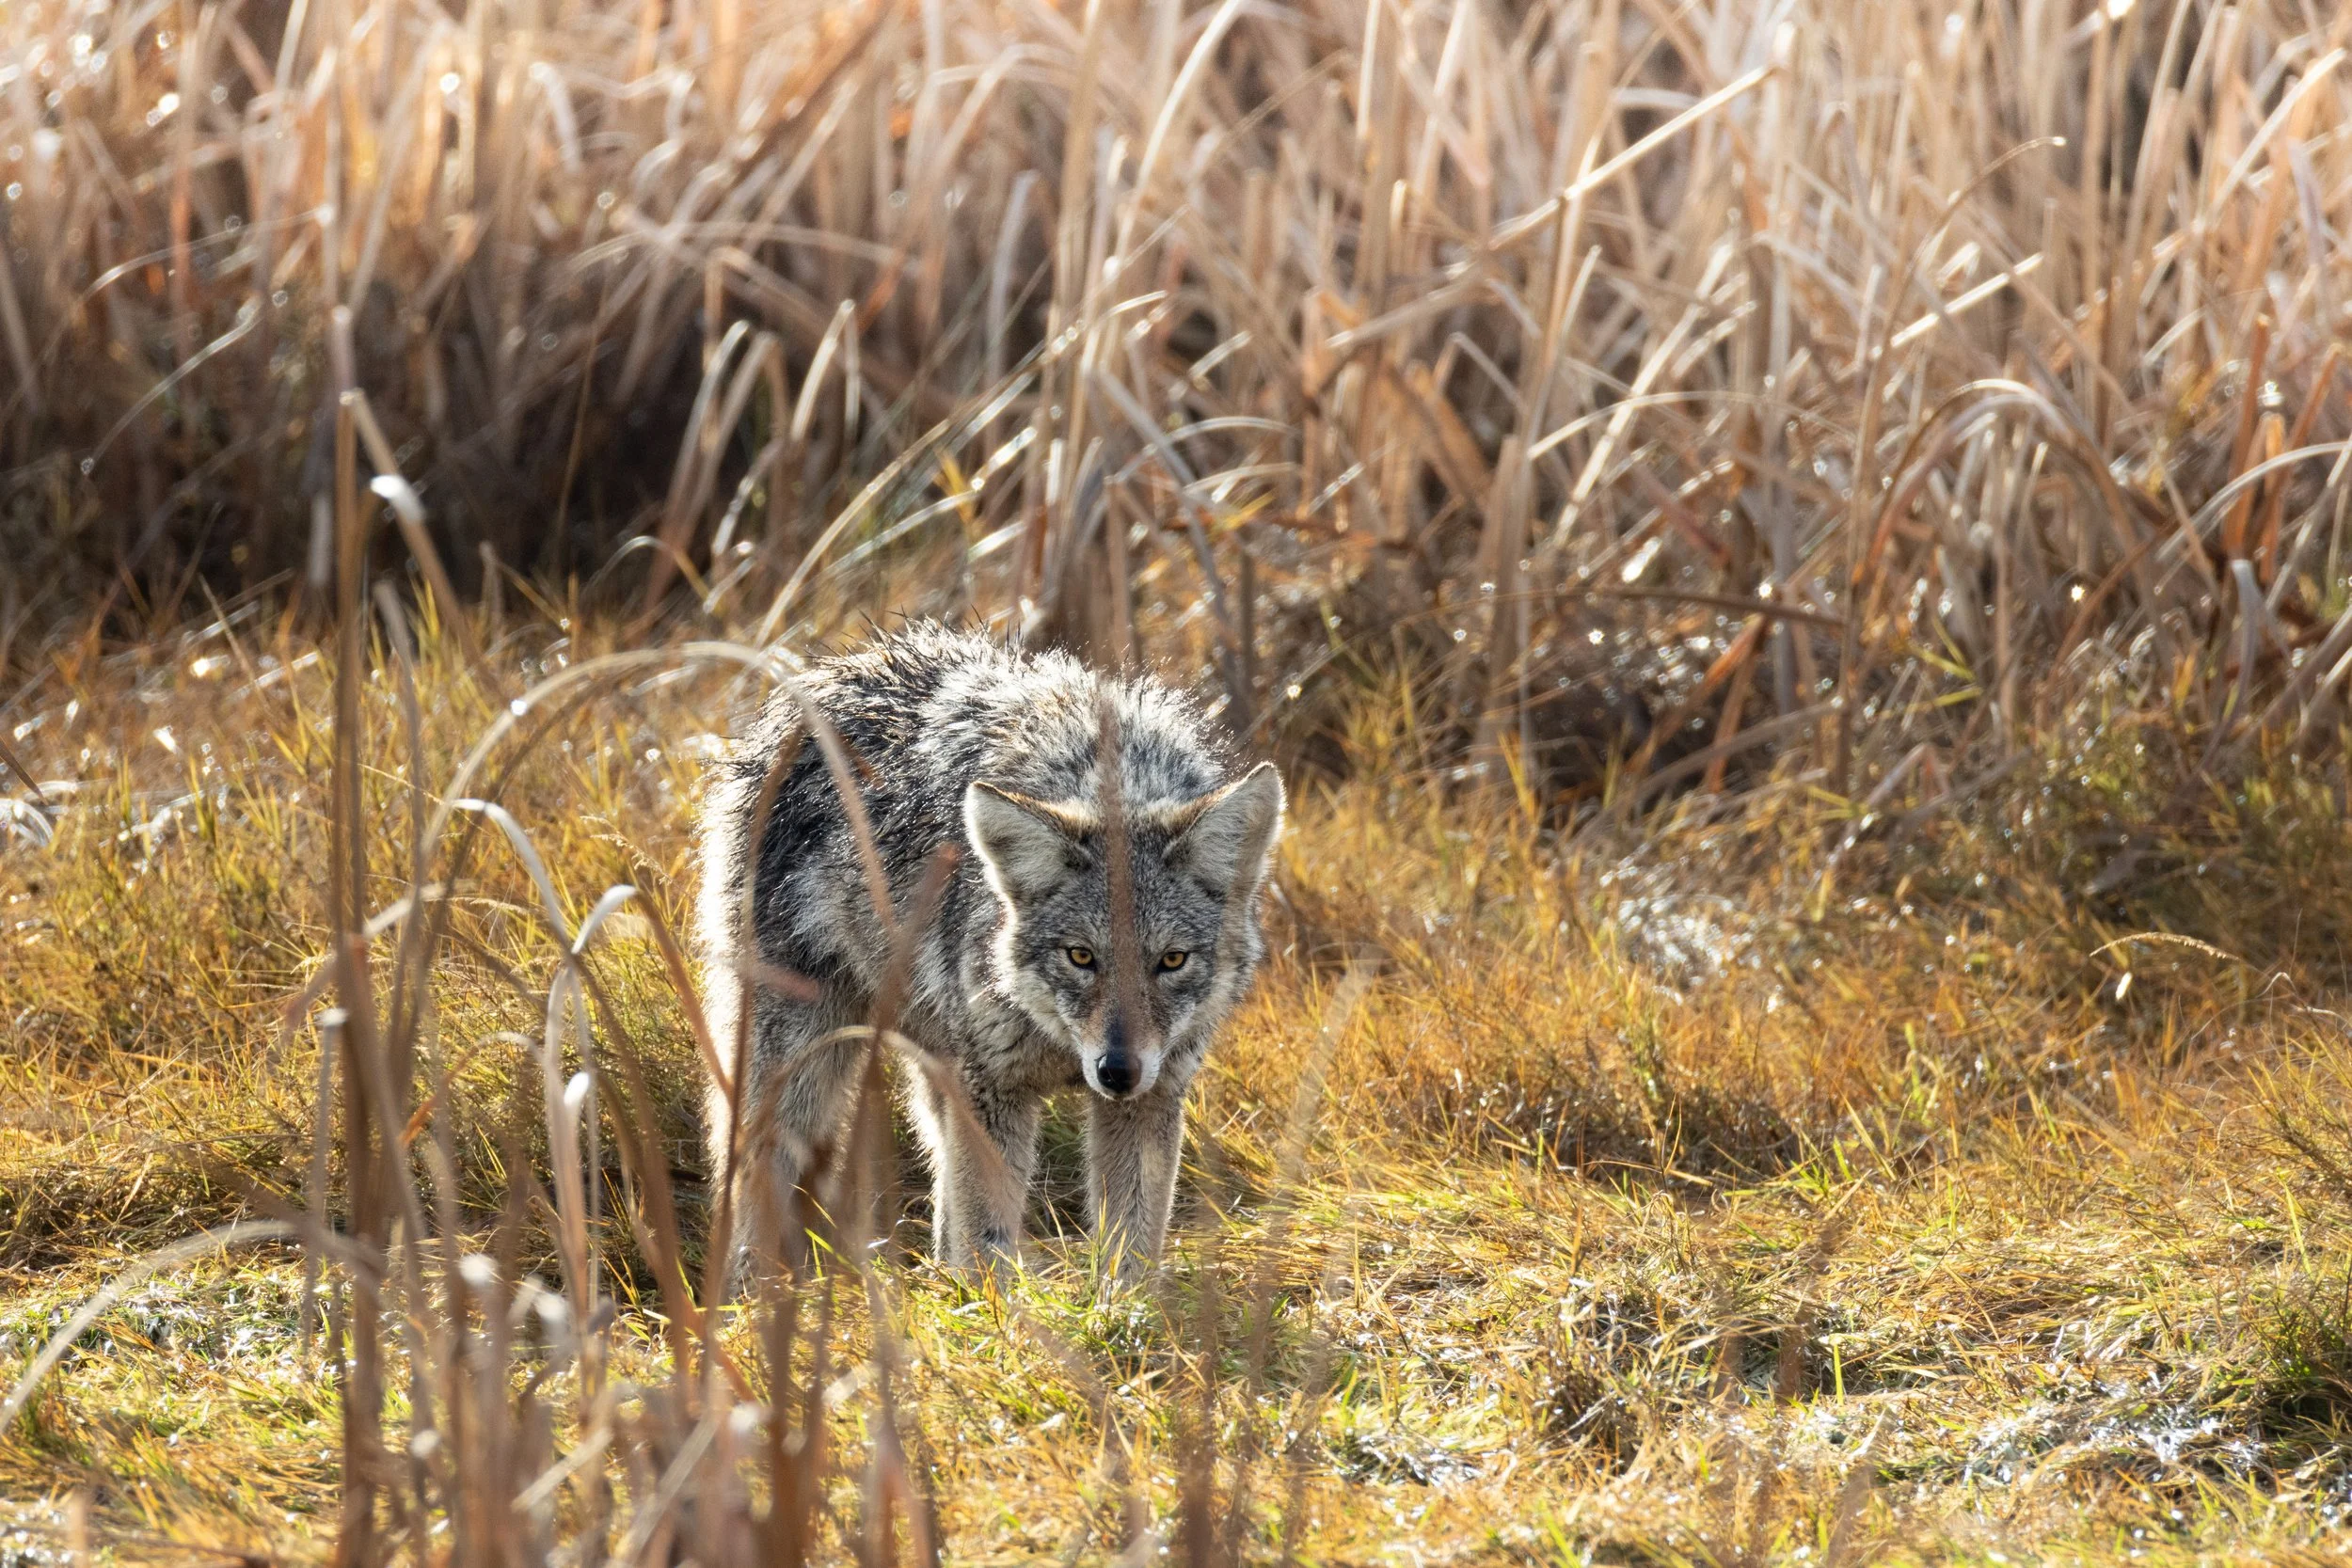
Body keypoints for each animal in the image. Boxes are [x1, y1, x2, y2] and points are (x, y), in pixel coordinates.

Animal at [694, 623, 1285, 1275]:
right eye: (1081, 957)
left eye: (1172, 961)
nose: (1117, 1071)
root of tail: (827, 673)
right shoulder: (993, 1093)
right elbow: (989, 1240)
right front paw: (995, 1305)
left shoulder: (1146, 1100)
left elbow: (1130, 1245)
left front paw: (1121, 1304)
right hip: (803, 1069)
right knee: (751, 1165)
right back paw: (751, 1289)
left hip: (934, 1064)